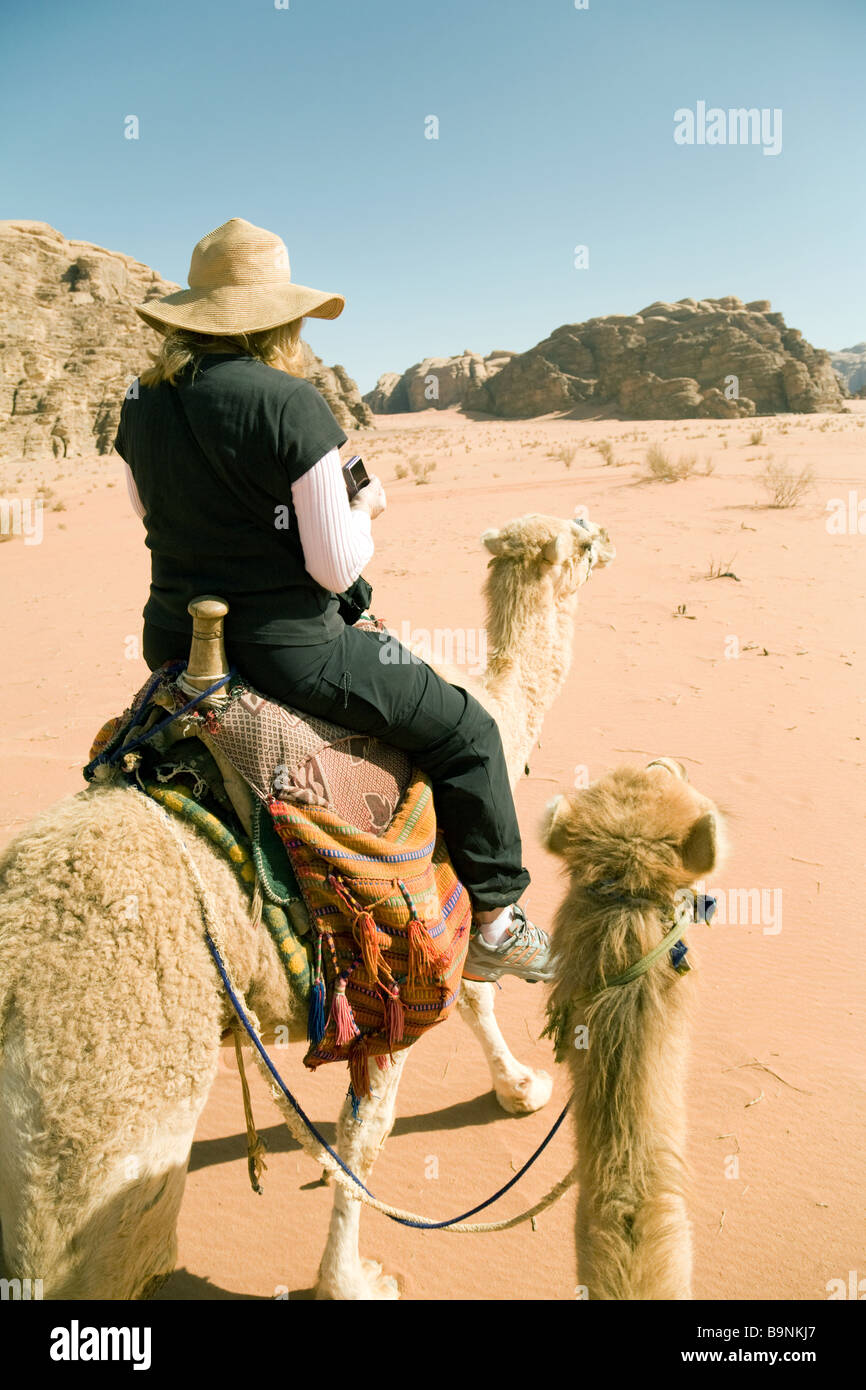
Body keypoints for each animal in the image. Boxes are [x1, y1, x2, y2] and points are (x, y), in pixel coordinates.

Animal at [0, 514, 614, 1301]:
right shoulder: (398, 970)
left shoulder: (444, 926)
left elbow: (476, 995)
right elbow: (366, 1140)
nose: (605, 535)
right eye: (580, 540)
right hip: (100, 1136)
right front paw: (350, 1280)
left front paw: (520, 1090)